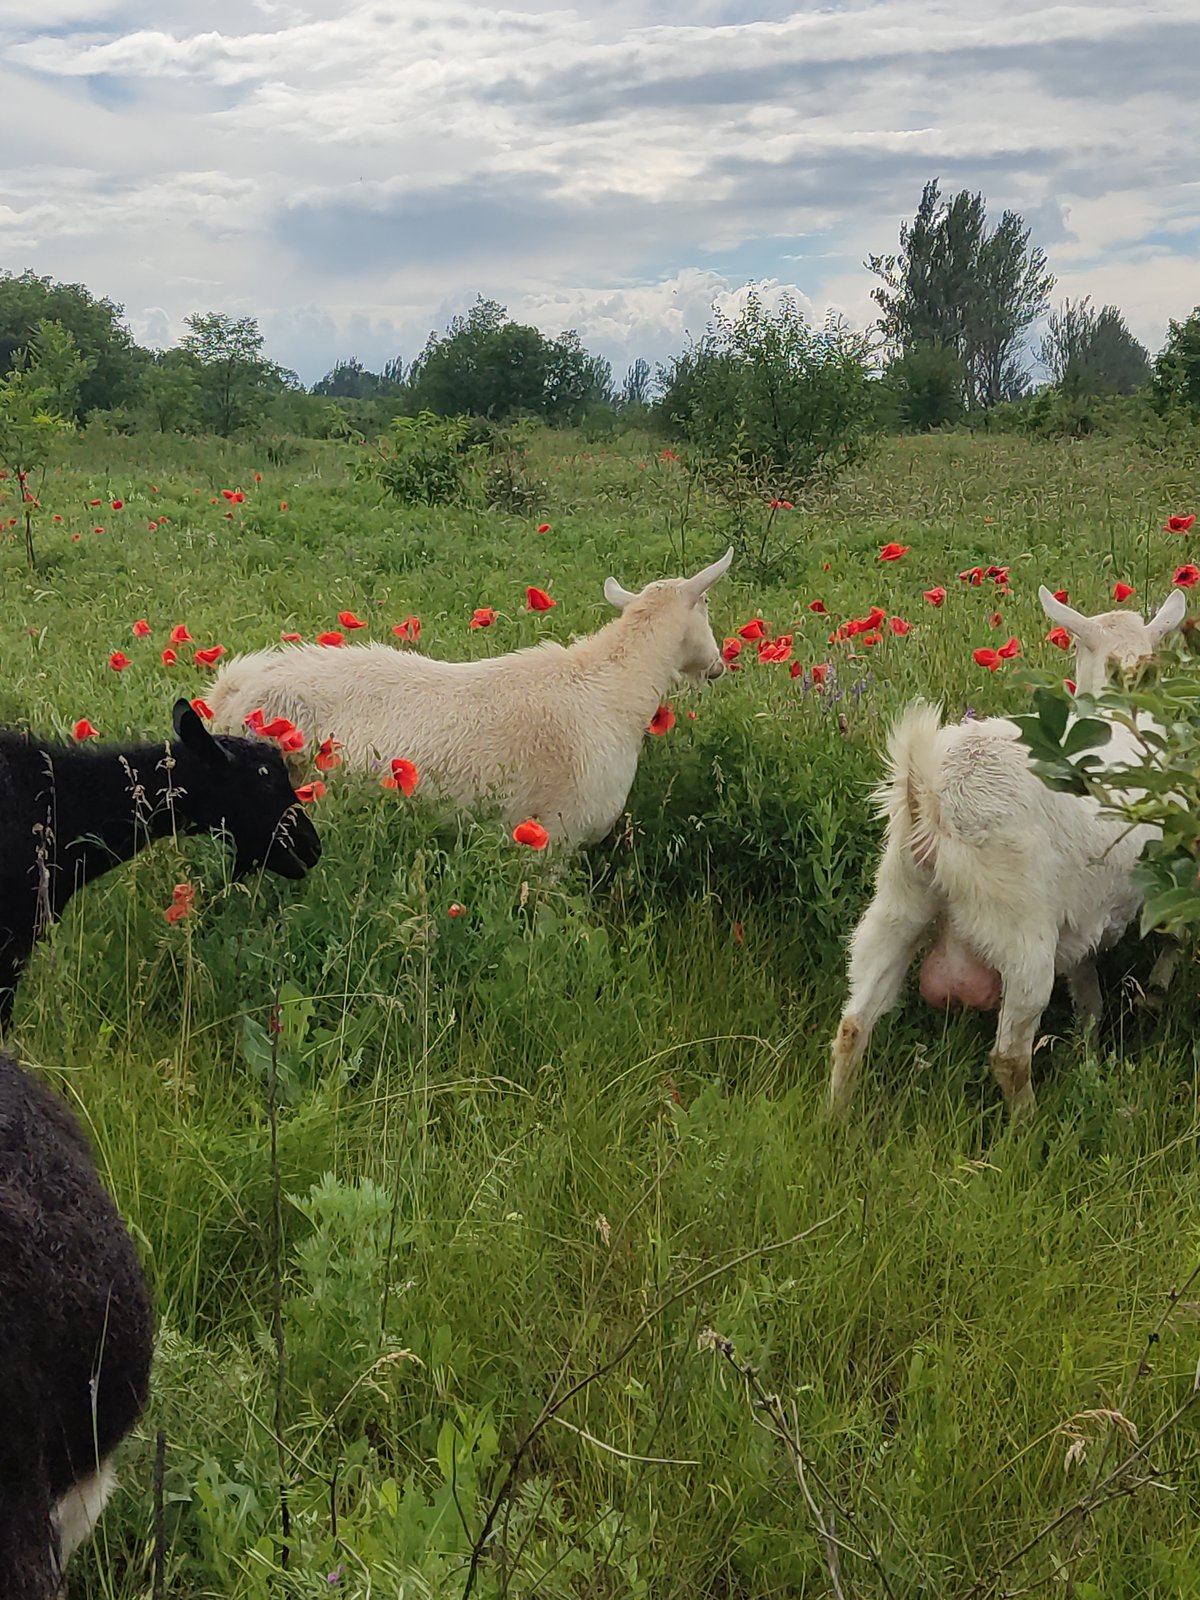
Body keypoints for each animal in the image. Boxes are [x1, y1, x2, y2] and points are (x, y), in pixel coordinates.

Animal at [829, 585, 1188, 1120]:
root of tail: (929, 791)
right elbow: (1174, 940)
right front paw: (1155, 998)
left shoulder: (1083, 917)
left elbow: (1088, 997)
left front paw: (1089, 1051)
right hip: (1019, 928)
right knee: (1010, 1056)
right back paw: (1030, 1125)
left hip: (897, 900)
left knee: (855, 1023)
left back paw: (835, 1117)